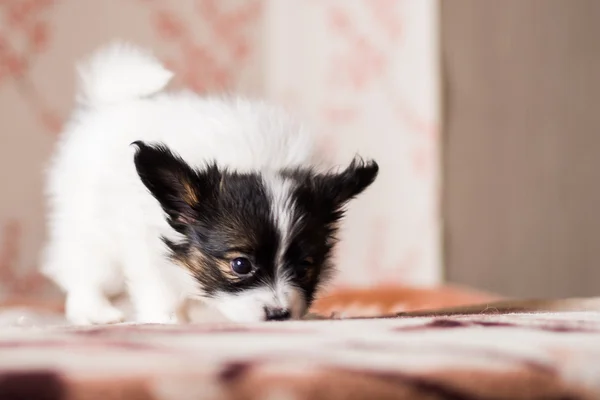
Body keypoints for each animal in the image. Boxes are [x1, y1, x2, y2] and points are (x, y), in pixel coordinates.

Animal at [41, 43, 380, 324]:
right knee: (84, 272)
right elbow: (159, 291)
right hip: (92, 234)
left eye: (305, 265)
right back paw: (95, 313)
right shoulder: (145, 245)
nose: (279, 314)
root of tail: (109, 106)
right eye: (240, 265)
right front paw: (166, 321)